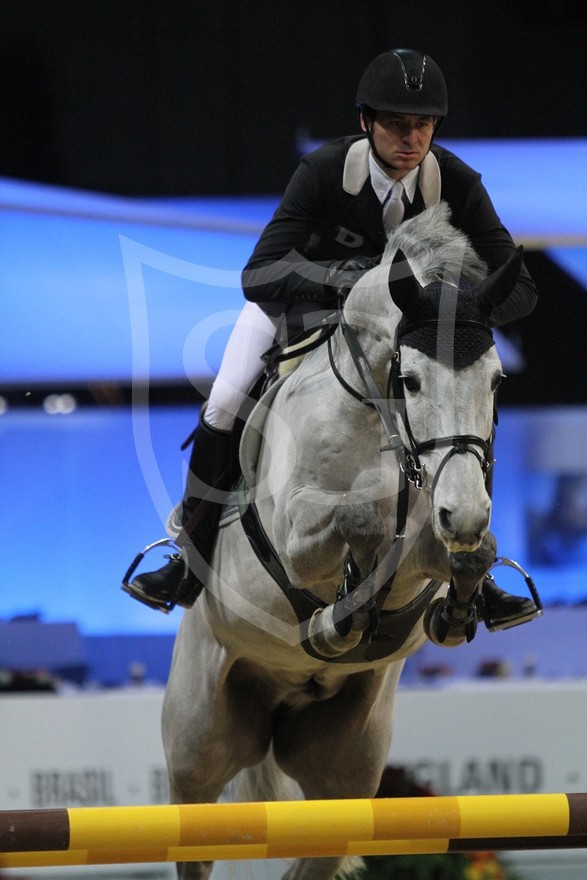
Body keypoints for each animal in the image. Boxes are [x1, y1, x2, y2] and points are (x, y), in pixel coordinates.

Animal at [158, 203, 520, 876]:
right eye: (410, 380)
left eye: (497, 381)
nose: (463, 513)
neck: (382, 419)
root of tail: (274, 704)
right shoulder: (294, 536)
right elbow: (361, 520)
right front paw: (339, 615)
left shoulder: (432, 543)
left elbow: (457, 554)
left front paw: (460, 604)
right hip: (196, 750)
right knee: (192, 832)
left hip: (348, 767)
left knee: (319, 850)